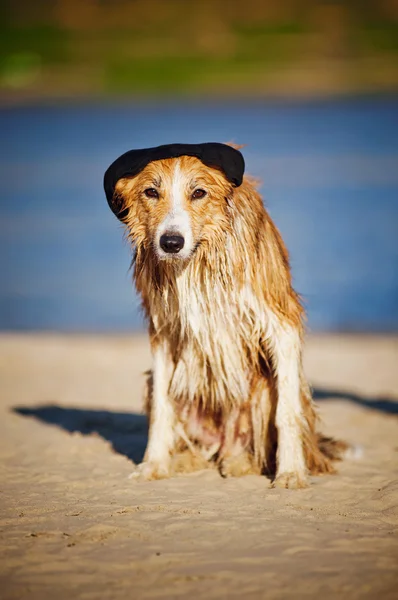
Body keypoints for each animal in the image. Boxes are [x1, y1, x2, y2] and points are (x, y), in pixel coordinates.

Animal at [105, 142, 346, 488]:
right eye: (151, 192)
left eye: (199, 192)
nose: (171, 243)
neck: (199, 256)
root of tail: (224, 442)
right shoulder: (164, 331)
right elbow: (162, 408)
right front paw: (154, 465)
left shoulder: (280, 320)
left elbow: (286, 413)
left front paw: (290, 472)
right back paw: (186, 460)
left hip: (262, 389)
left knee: (253, 445)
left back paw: (241, 463)